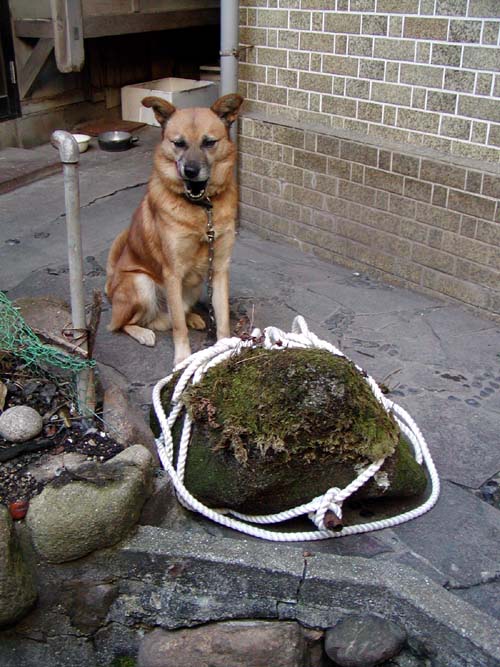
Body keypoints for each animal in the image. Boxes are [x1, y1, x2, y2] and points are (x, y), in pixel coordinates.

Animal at [105, 93, 243, 366]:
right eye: (178, 143)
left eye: (209, 142)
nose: (190, 171)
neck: (202, 209)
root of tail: (110, 288)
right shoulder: (172, 273)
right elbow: (178, 326)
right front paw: (182, 358)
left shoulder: (219, 269)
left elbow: (221, 316)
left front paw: (223, 348)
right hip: (141, 283)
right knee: (123, 324)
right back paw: (143, 333)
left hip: (194, 285)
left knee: (172, 313)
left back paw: (193, 318)